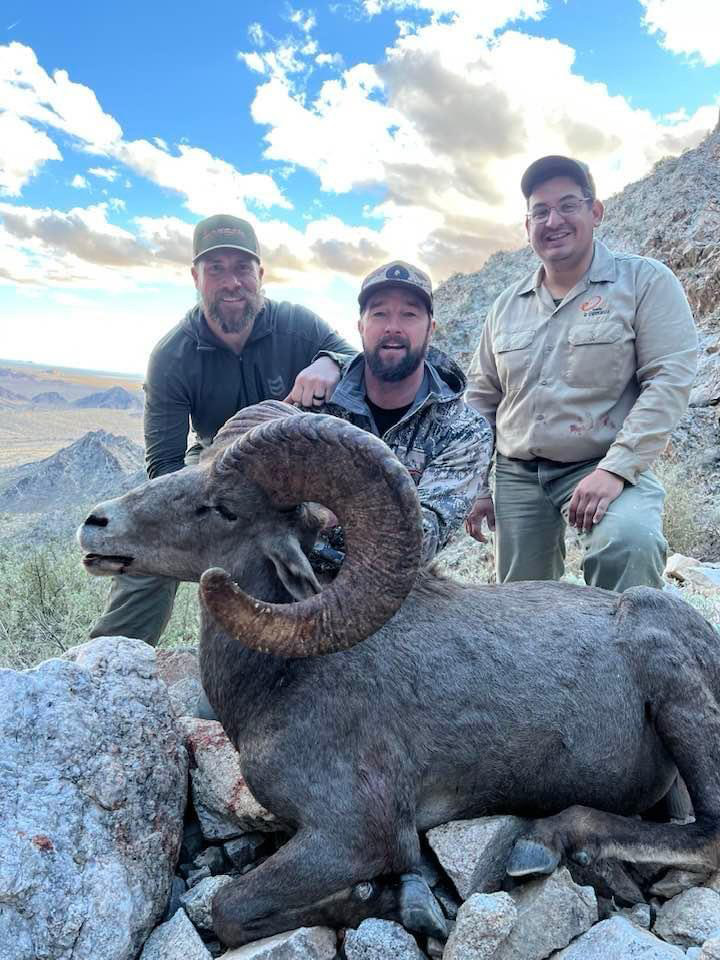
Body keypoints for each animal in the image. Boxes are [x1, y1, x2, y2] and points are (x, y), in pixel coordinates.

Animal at [78, 400, 720, 947]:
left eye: (224, 507)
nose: (96, 524)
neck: (281, 681)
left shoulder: (353, 834)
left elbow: (230, 909)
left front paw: (393, 901)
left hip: (678, 699)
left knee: (707, 833)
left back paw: (542, 845)